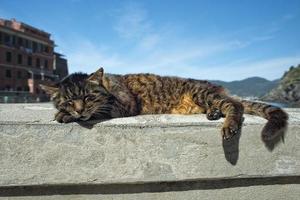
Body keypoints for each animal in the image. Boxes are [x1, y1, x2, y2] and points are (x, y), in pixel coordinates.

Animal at [40, 67, 288, 144]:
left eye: (87, 98)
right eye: (69, 100)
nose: (79, 109)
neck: (108, 85)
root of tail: (218, 87)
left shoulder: (125, 104)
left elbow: (100, 110)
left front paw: (65, 115)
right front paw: (65, 112)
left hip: (202, 92)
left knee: (235, 104)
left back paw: (229, 125)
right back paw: (213, 113)